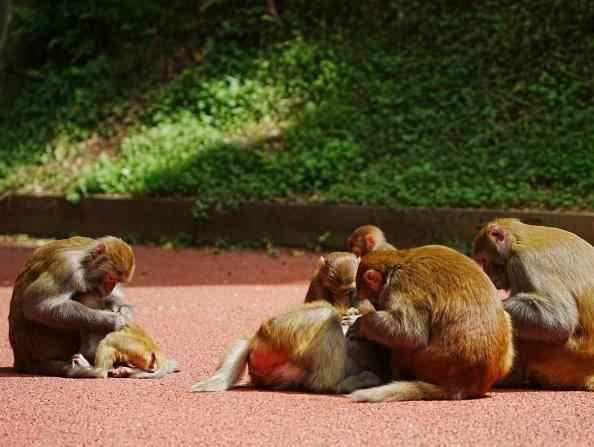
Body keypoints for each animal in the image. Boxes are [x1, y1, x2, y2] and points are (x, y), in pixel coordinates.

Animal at [8, 236, 135, 377]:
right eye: (110, 278)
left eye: (116, 281)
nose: (109, 288)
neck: (84, 261)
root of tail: (24, 360)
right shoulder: (68, 268)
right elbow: (38, 306)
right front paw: (113, 320)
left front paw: (124, 310)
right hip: (48, 344)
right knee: (87, 294)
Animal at [345, 247, 514, 402]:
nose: (376, 305)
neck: (396, 265)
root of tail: (465, 384)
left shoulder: (402, 285)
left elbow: (410, 334)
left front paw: (360, 323)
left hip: (426, 362)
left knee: (405, 346)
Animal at [472, 218, 594, 391]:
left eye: (484, 260)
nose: (489, 274)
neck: (519, 238)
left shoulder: (522, 262)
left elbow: (560, 319)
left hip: (562, 356)